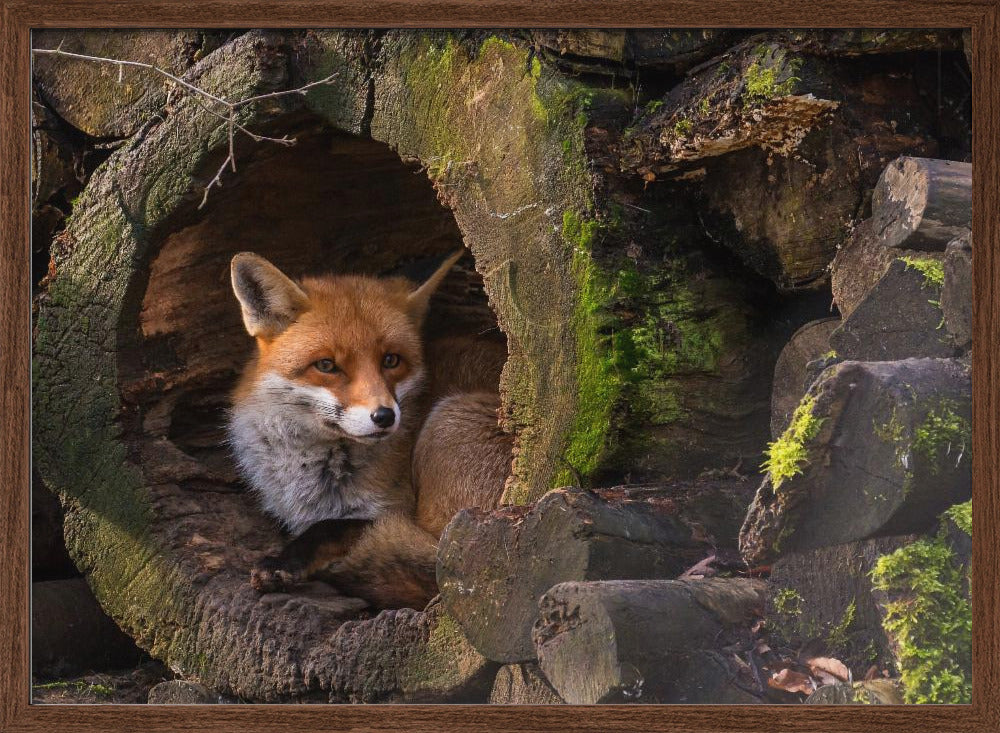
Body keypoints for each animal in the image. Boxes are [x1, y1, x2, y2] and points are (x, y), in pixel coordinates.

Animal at [227, 250, 513, 609]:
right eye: (326, 365)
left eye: (391, 360)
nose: (384, 416)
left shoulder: (393, 511)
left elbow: (331, 527)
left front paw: (284, 561)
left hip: (448, 432)